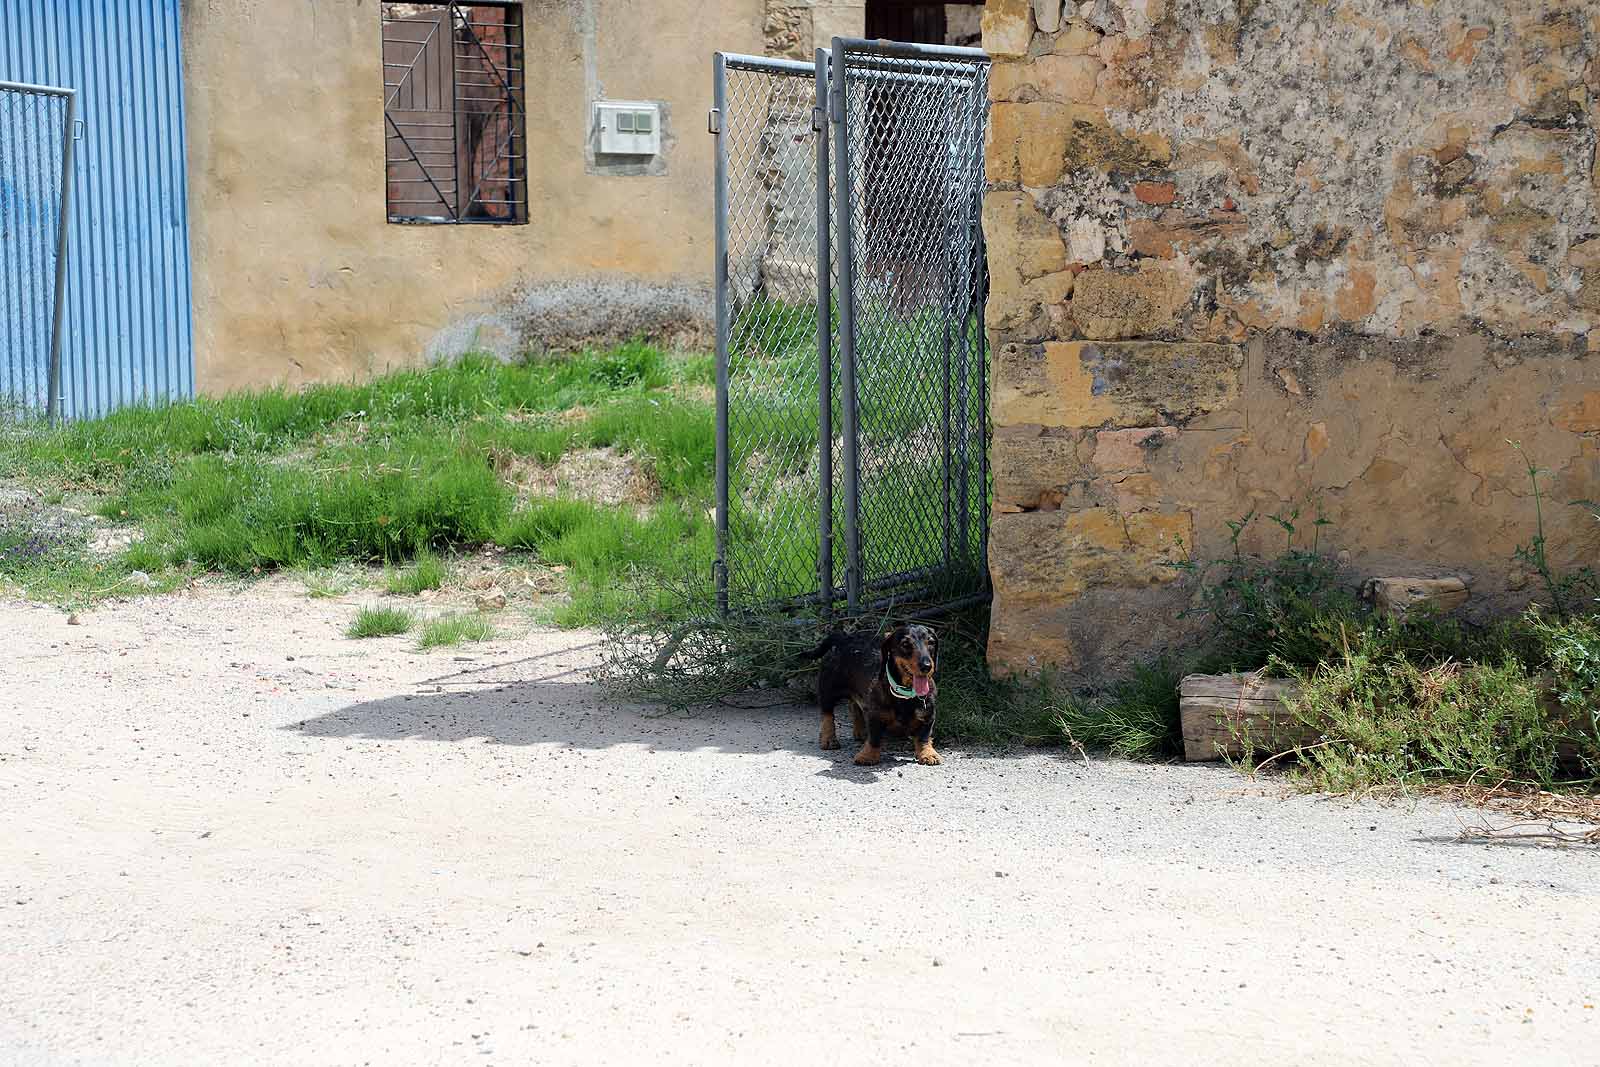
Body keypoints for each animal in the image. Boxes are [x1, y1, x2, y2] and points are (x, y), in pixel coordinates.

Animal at [812, 627, 934, 767]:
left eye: (931, 642)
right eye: (905, 644)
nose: (926, 666)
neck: (904, 695)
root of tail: (843, 638)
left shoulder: (927, 715)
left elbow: (924, 737)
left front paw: (928, 754)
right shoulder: (875, 716)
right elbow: (874, 737)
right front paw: (868, 756)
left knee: (854, 706)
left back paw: (860, 732)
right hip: (828, 689)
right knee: (827, 714)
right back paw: (829, 739)